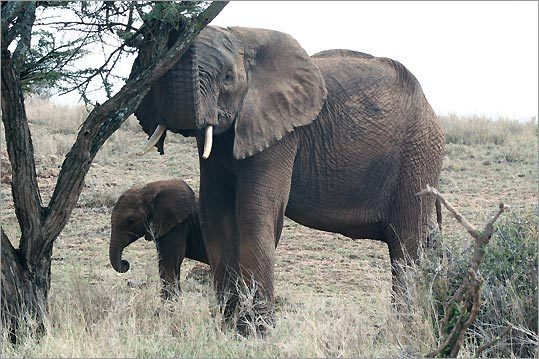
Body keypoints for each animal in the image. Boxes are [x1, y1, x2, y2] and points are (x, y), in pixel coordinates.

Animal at [133, 26, 446, 332]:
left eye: (228, 78)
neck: (243, 37)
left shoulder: (281, 134)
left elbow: (255, 212)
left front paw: (257, 332)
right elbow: (215, 214)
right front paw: (229, 326)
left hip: (418, 154)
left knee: (406, 243)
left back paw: (405, 327)